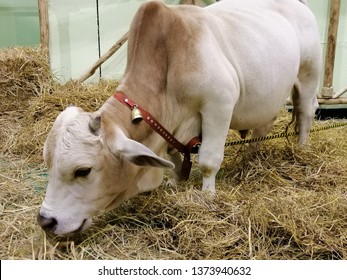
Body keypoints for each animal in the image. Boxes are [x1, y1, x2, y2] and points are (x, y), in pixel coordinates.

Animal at [37, 0, 320, 234]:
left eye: (83, 170)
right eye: (48, 163)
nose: (46, 221)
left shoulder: (219, 104)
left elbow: (209, 160)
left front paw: (208, 195)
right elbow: (173, 159)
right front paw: (174, 184)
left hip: (308, 75)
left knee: (306, 113)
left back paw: (302, 148)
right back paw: (251, 158)